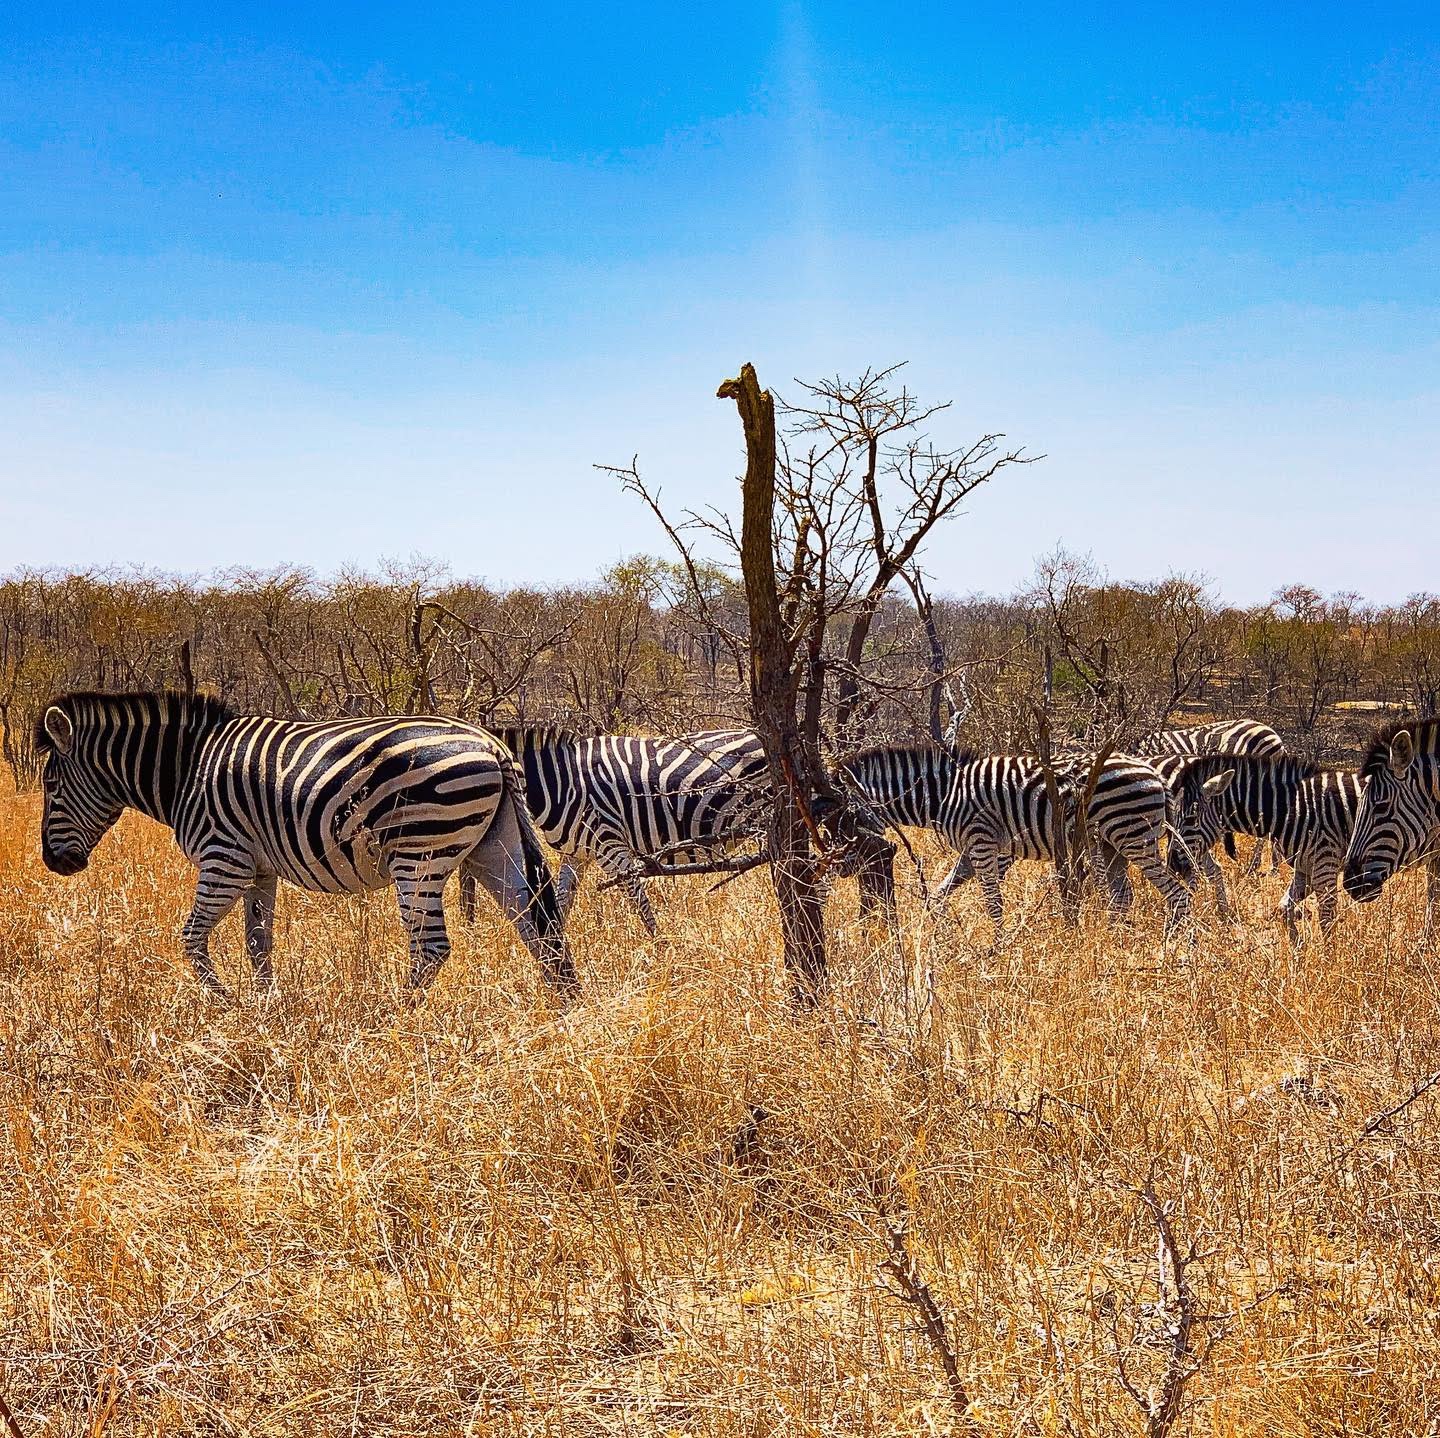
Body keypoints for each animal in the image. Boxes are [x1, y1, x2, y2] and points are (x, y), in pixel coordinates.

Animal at [36, 691, 573, 999]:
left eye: (51, 786)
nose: (53, 863)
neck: (185, 770)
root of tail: (494, 745)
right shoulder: (258, 868)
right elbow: (258, 942)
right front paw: (264, 1009)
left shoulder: (223, 859)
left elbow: (190, 938)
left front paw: (223, 1005)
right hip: (490, 848)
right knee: (536, 925)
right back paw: (560, 1008)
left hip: (420, 852)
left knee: (432, 947)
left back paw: (392, 1017)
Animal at [461, 726, 772, 934]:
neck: (557, 783)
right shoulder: (577, 854)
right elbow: (561, 906)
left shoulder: (611, 846)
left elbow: (641, 906)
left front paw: (664, 954)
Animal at [840, 745, 1193, 940]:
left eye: (843, 817)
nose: (845, 869)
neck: (944, 796)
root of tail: (1153, 773)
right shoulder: (976, 851)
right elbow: (938, 896)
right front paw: (943, 937)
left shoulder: (983, 843)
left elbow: (993, 902)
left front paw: (999, 948)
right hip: (1111, 845)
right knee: (1123, 897)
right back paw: (1116, 940)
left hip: (1133, 837)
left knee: (1177, 893)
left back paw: (1174, 946)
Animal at [1166, 752, 1361, 939]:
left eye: (1191, 819)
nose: (1172, 864)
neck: (1292, 809)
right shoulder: (1305, 866)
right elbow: (1283, 909)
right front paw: (1298, 945)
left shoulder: (1325, 863)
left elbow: (1326, 920)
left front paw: (1327, 951)